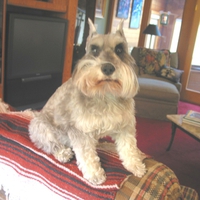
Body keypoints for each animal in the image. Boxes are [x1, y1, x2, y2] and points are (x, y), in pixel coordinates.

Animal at [28, 18, 145, 184]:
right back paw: (63, 153)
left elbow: (128, 147)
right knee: (50, 145)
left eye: (119, 50)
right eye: (94, 49)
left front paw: (135, 165)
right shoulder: (80, 131)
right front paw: (95, 174)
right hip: (41, 128)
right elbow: (86, 154)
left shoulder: (125, 126)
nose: (108, 68)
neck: (106, 93)